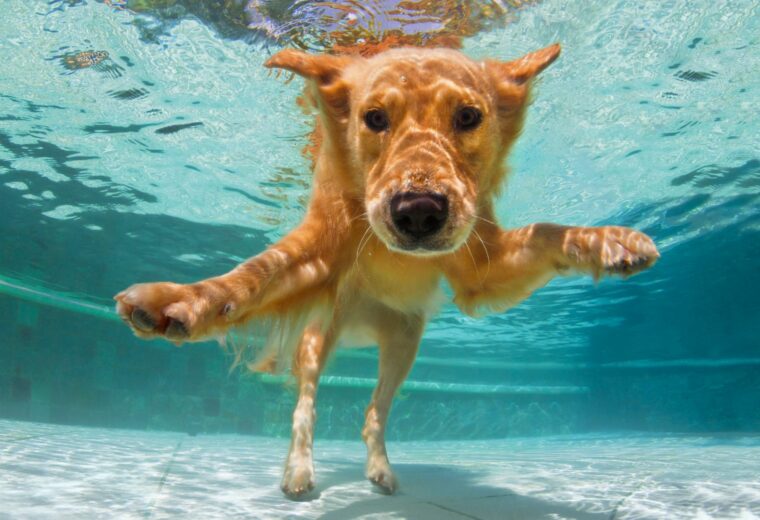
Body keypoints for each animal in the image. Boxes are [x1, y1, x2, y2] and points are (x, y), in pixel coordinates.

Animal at [113, 42, 660, 498]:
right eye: (374, 118)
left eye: (468, 116)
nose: (418, 211)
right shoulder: (317, 251)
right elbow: (252, 276)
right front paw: (178, 300)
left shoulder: (481, 267)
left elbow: (545, 231)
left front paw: (608, 241)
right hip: (319, 336)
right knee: (305, 405)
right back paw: (299, 471)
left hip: (404, 343)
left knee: (373, 412)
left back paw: (380, 469)